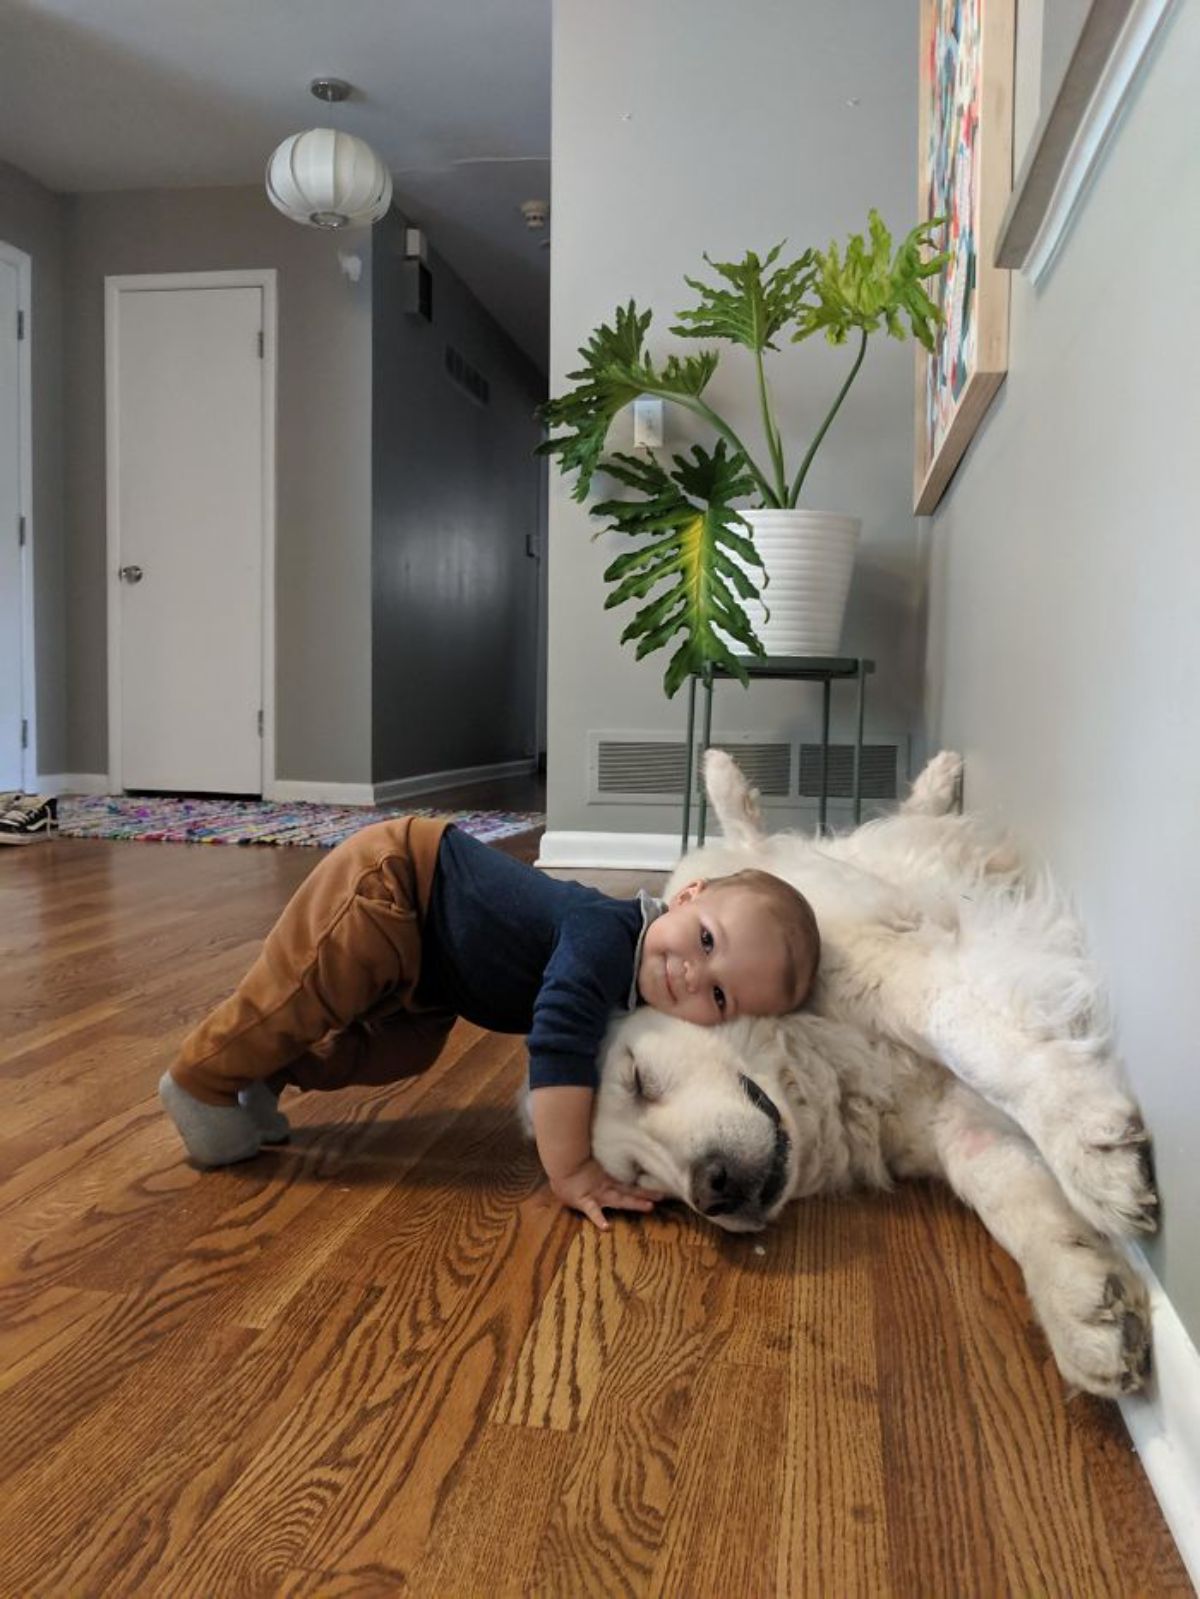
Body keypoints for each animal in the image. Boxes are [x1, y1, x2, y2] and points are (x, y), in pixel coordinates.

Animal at [598, 754, 1158, 1394]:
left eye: (639, 1080)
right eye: (642, 1180)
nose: (711, 1190)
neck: (826, 1059)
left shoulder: (878, 966)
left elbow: (966, 1031)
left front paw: (1083, 1139)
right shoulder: (948, 1123)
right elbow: (1006, 1189)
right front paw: (1082, 1299)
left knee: (777, 831)